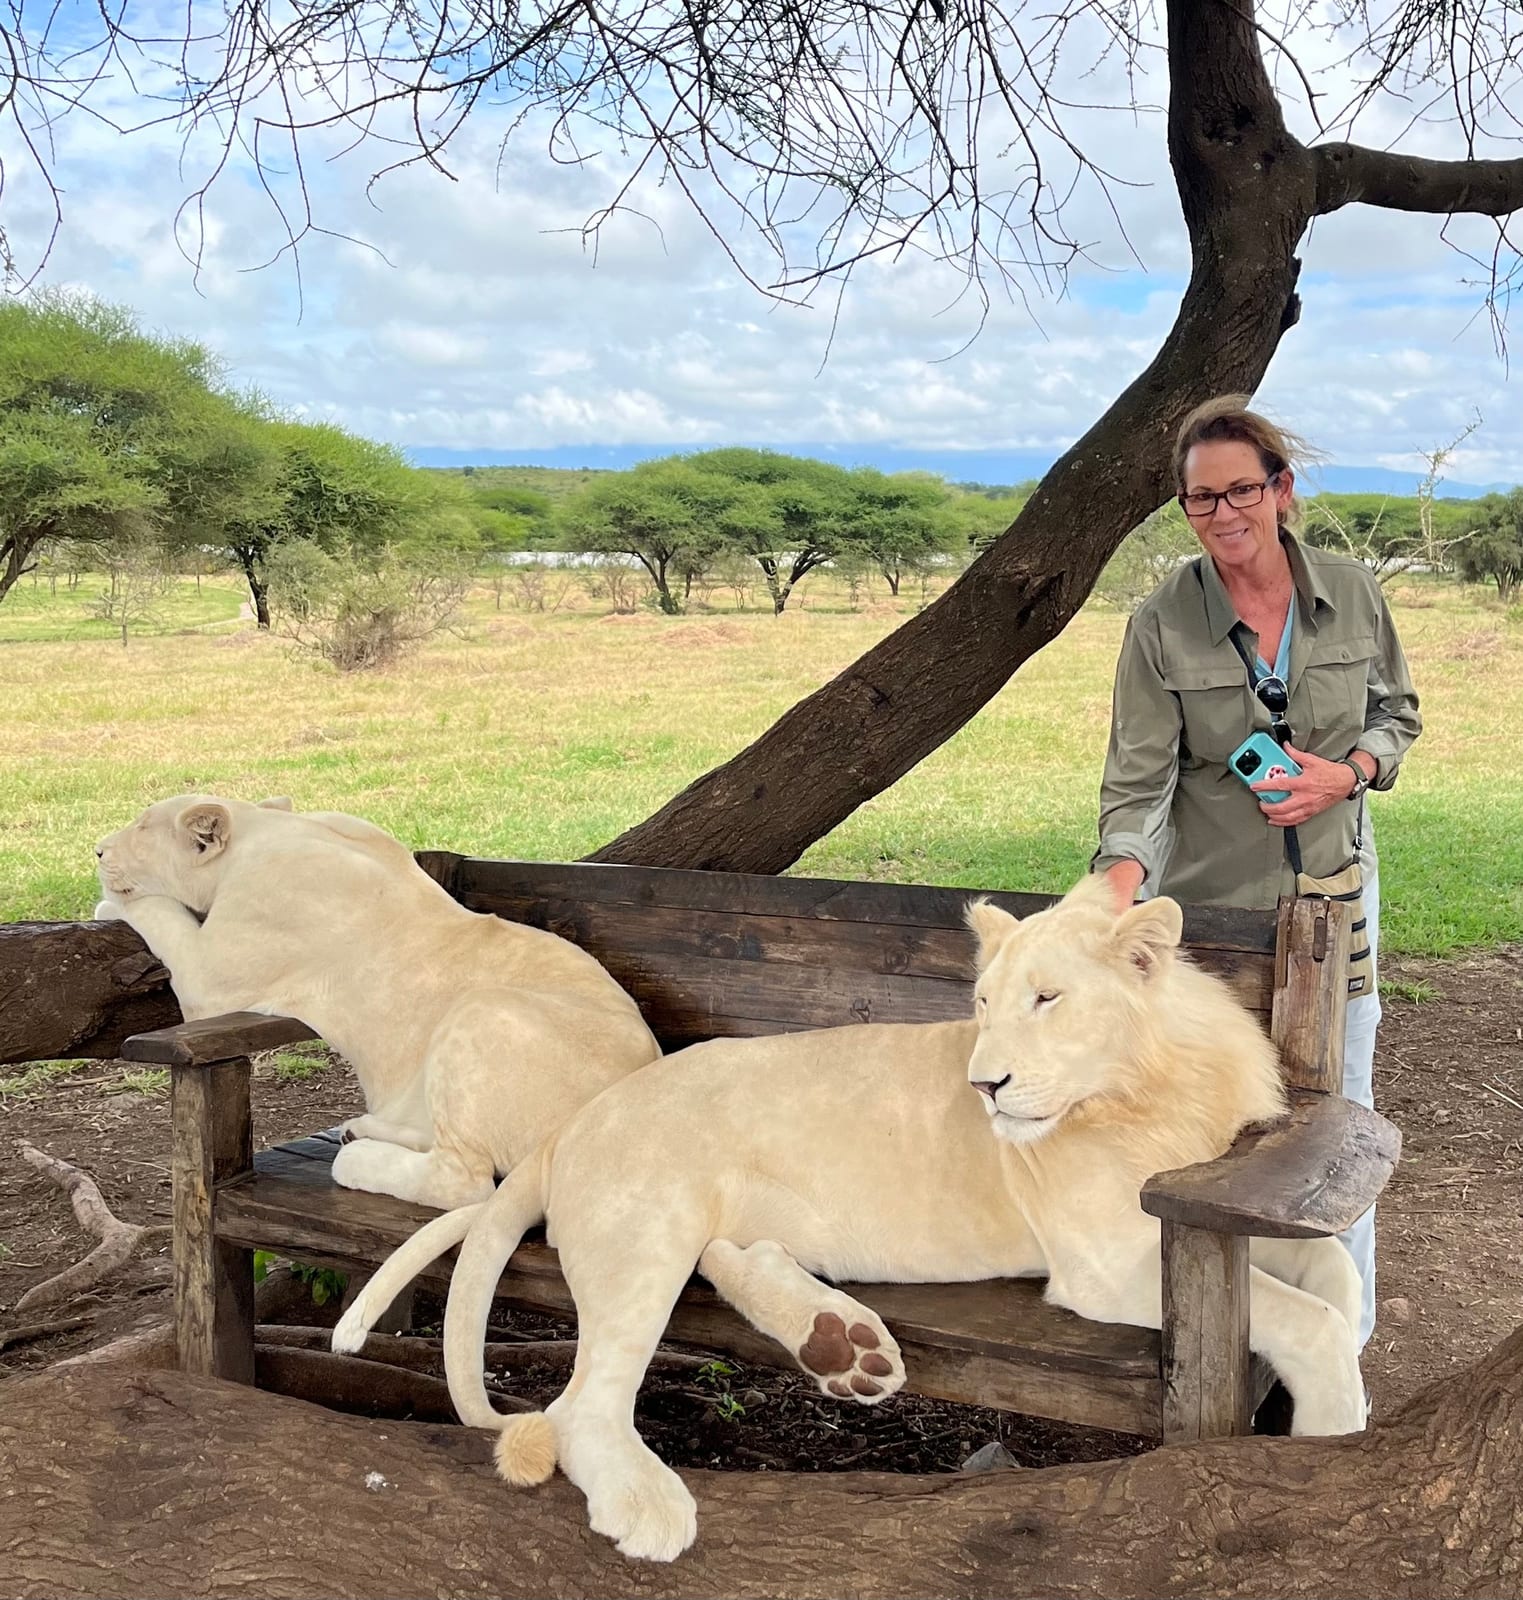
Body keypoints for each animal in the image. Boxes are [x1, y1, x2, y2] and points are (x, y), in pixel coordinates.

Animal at [94, 795, 659, 1208]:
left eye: (141, 828)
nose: (97, 851)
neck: (268, 831)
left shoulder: (211, 980)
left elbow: (161, 913)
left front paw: (109, 901)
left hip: (482, 1012)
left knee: (464, 1183)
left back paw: (355, 1158)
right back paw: (360, 1130)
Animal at [333, 877, 1367, 1562]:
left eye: (1047, 999)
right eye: (982, 1003)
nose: (983, 1085)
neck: (1145, 1087)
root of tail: (573, 1123)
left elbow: (1337, 1280)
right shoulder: (1105, 1261)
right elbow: (1306, 1318)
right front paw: (1335, 1439)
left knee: (732, 1258)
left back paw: (842, 1348)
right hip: (646, 1222)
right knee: (581, 1406)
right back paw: (651, 1502)